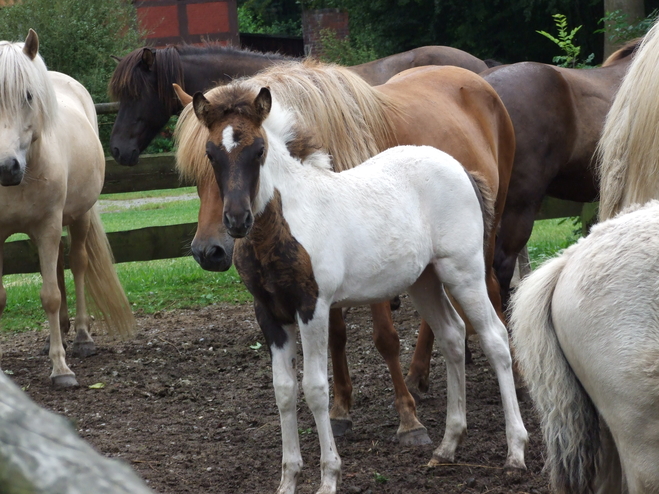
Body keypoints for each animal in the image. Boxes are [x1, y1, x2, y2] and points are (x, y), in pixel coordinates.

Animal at [178, 78, 528, 494]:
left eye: (258, 150)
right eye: (211, 153)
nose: (235, 220)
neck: (281, 225)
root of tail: (459, 167)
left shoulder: (312, 308)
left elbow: (315, 389)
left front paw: (329, 477)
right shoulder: (270, 315)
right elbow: (284, 392)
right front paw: (288, 480)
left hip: (464, 271)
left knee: (495, 338)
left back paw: (515, 453)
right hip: (424, 280)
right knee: (453, 335)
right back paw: (447, 447)